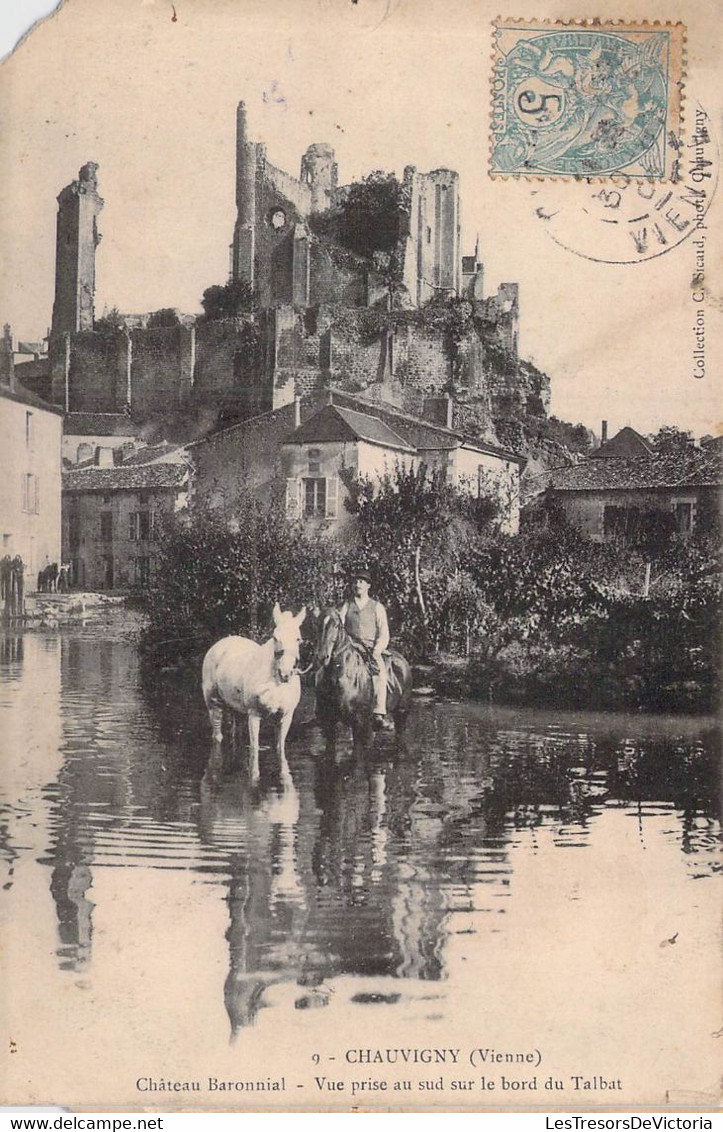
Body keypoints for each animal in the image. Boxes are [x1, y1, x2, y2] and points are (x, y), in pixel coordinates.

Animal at [202, 606, 307, 783]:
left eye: (298, 639)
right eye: (275, 637)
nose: (285, 674)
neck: (275, 681)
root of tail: (220, 644)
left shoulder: (286, 716)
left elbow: (280, 749)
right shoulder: (254, 715)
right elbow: (255, 749)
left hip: (236, 709)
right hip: (213, 702)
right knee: (217, 733)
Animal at [314, 606, 411, 747]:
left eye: (336, 625)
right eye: (316, 624)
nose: (322, 657)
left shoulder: (360, 723)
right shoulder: (329, 724)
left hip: (401, 713)